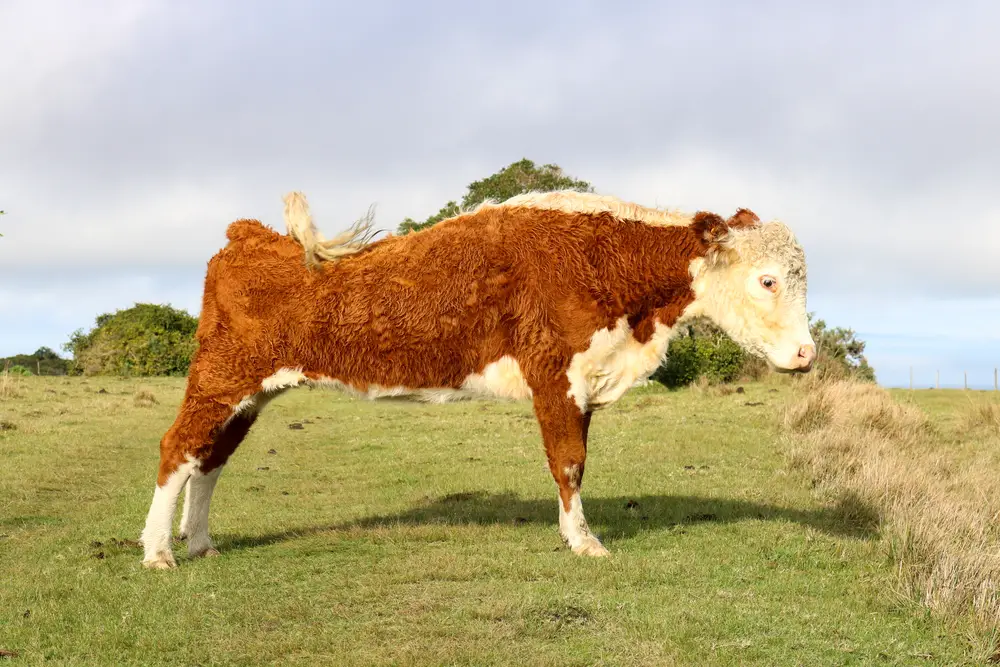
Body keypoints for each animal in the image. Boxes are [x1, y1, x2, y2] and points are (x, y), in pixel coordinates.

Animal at [139, 189, 812, 568]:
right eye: (767, 279)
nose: (807, 353)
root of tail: (249, 235)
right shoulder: (556, 376)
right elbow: (569, 463)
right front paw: (584, 543)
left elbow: (574, 461)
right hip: (219, 379)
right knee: (177, 450)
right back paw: (158, 553)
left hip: (251, 393)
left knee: (210, 460)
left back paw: (200, 543)